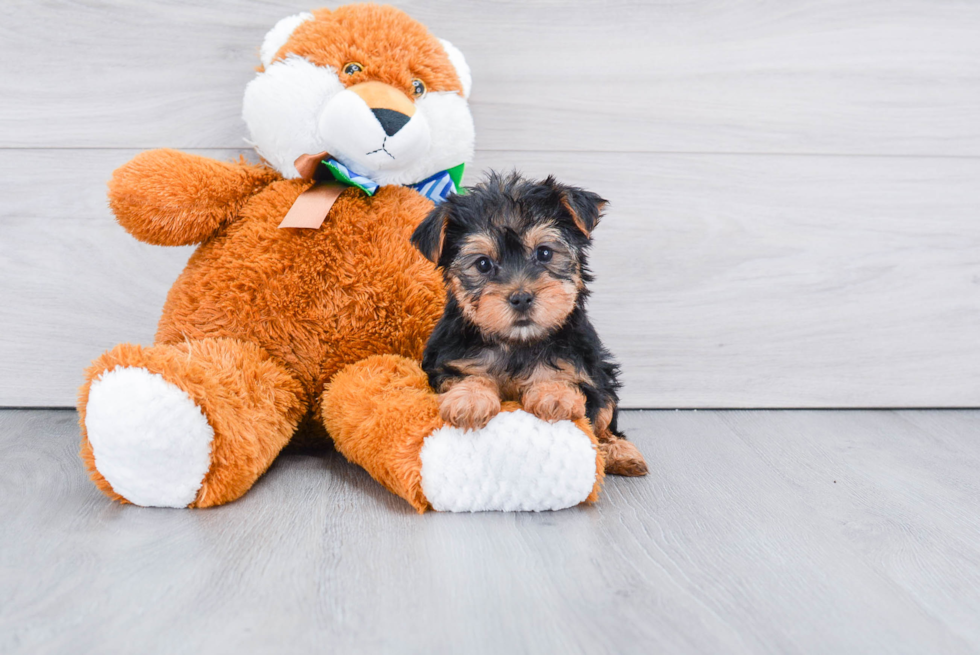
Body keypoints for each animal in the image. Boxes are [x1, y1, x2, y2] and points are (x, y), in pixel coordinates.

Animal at [410, 170, 648, 476]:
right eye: (483, 264)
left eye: (544, 253)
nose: (521, 297)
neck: (517, 344)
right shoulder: (445, 362)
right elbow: (465, 375)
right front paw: (470, 399)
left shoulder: (585, 368)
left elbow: (572, 386)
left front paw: (554, 394)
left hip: (604, 374)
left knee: (607, 418)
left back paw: (621, 452)